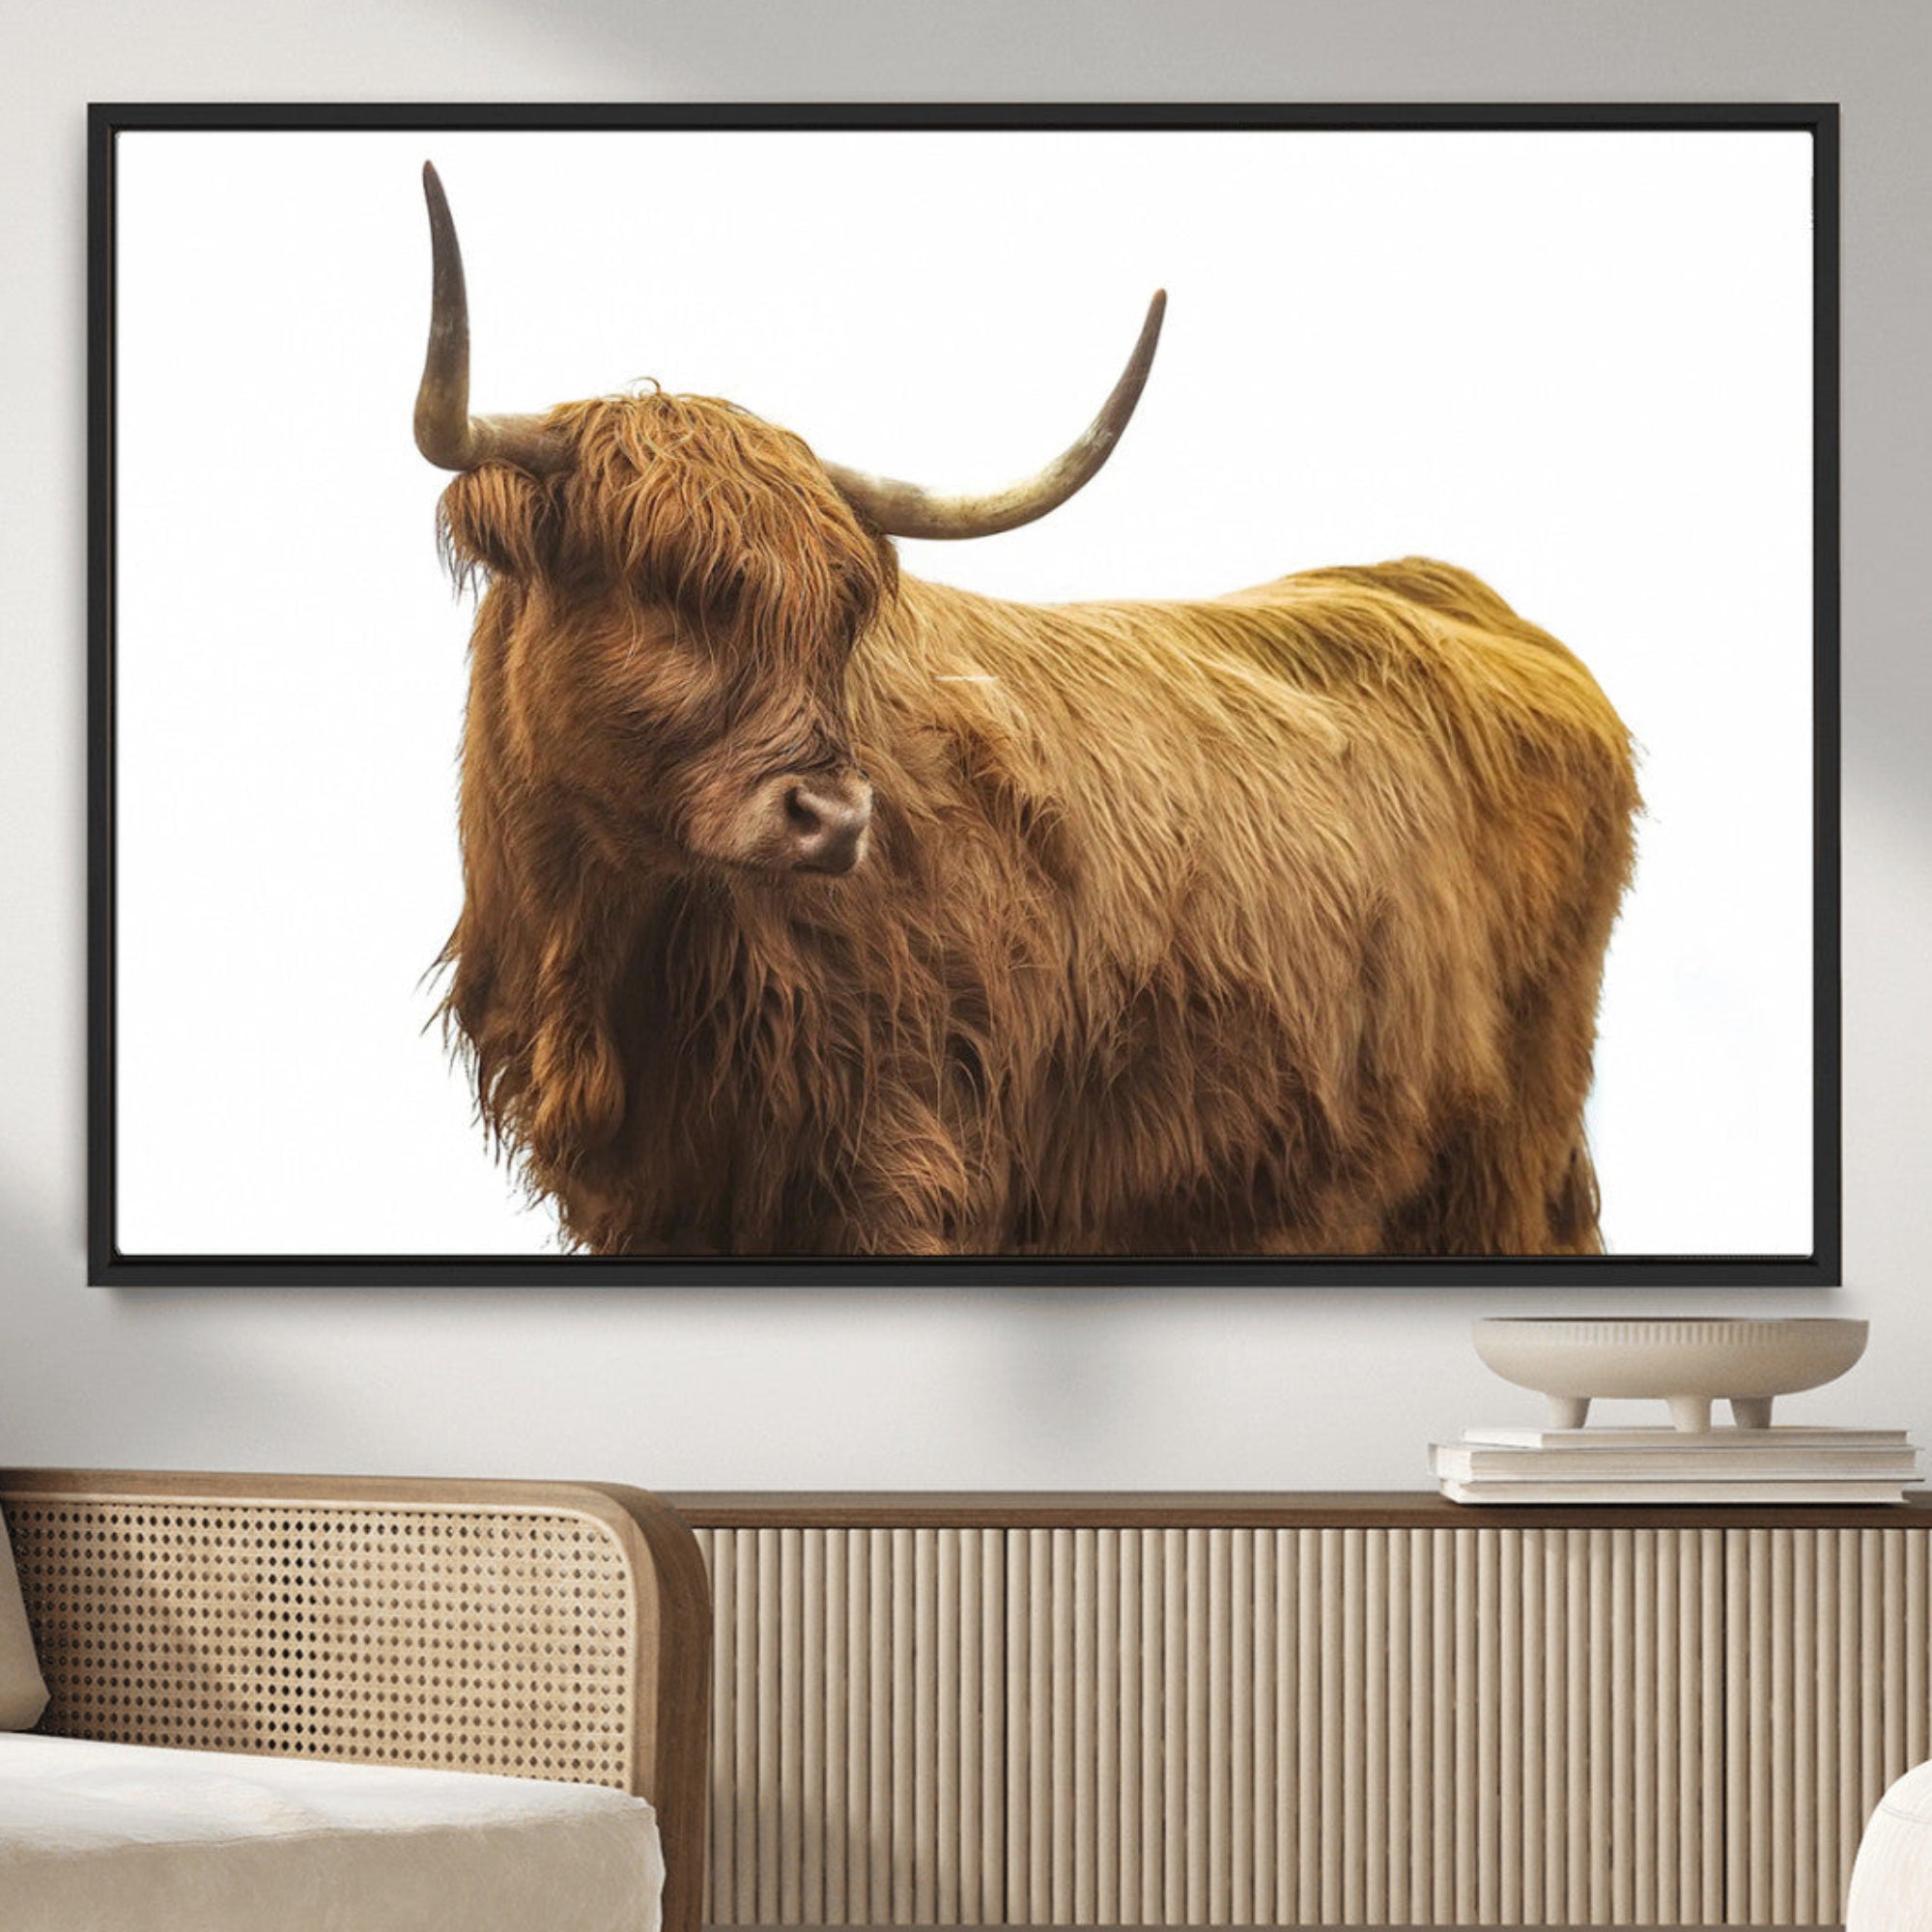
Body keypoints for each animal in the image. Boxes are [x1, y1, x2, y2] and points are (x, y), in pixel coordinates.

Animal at [413, 162, 1639, 1259]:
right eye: (664, 588)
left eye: (841, 617)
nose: (835, 817)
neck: (611, 956)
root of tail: (1451, 594)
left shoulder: (904, 1163)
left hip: (1504, 1151)